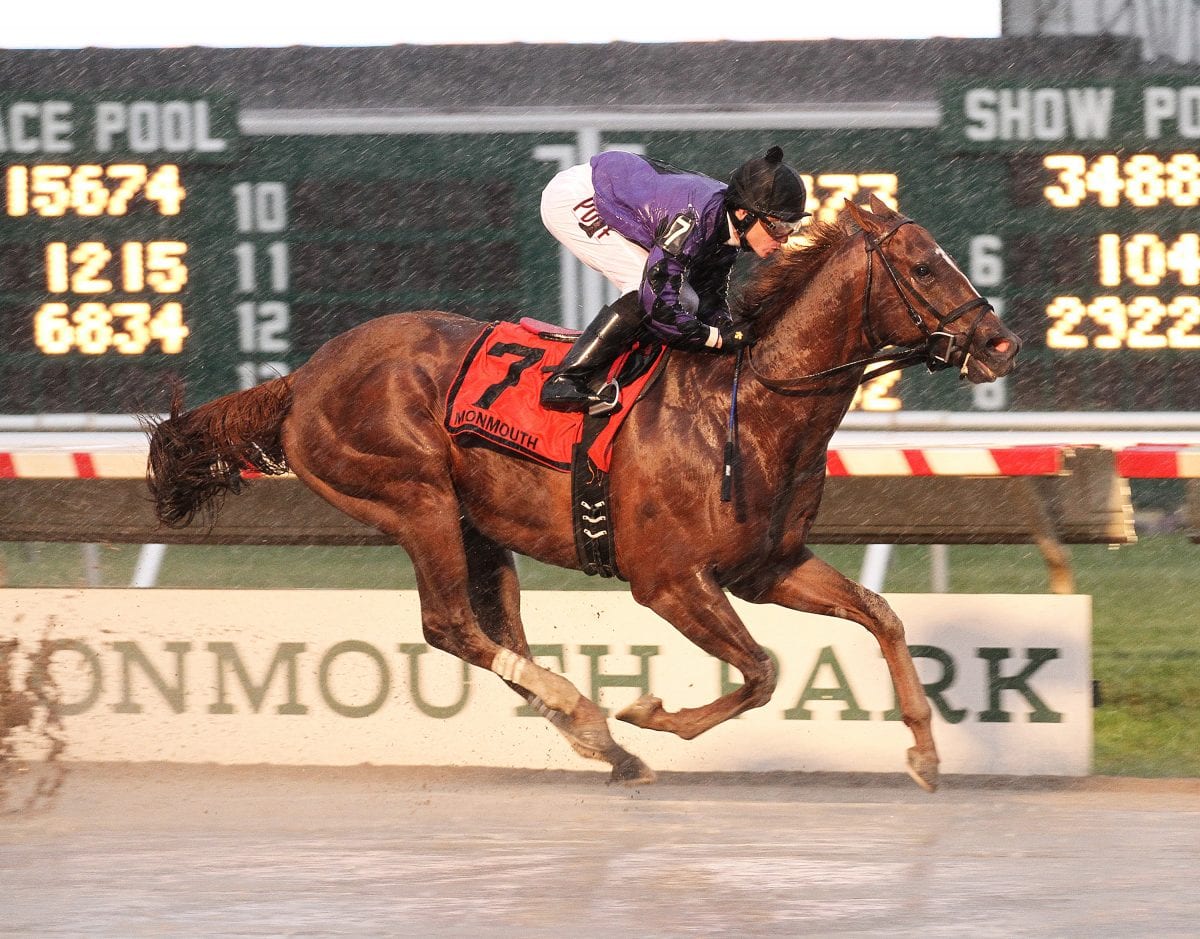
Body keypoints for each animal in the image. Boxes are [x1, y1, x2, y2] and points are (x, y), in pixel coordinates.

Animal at [145, 200, 1017, 792]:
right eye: (927, 266)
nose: (999, 343)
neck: (753, 403)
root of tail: (302, 378)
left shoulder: (767, 565)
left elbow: (880, 616)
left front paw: (925, 748)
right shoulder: (668, 580)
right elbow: (762, 671)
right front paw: (649, 713)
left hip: (478, 526)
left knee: (495, 631)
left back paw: (598, 739)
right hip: (414, 499)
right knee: (448, 624)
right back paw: (594, 716)